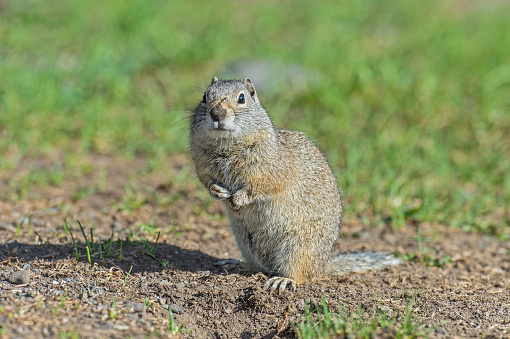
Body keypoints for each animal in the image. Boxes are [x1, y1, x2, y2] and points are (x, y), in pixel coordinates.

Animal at [189, 77, 400, 292]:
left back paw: (283, 280)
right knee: (260, 266)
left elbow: (259, 186)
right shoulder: (202, 165)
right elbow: (207, 181)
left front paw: (239, 198)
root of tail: (322, 266)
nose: (216, 113)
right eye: (205, 96)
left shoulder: (271, 171)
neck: (226, 148)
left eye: (242, 98)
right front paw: (217, 191)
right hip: (244, 242)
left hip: (298, 248)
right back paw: (237, 263)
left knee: (299, 274)